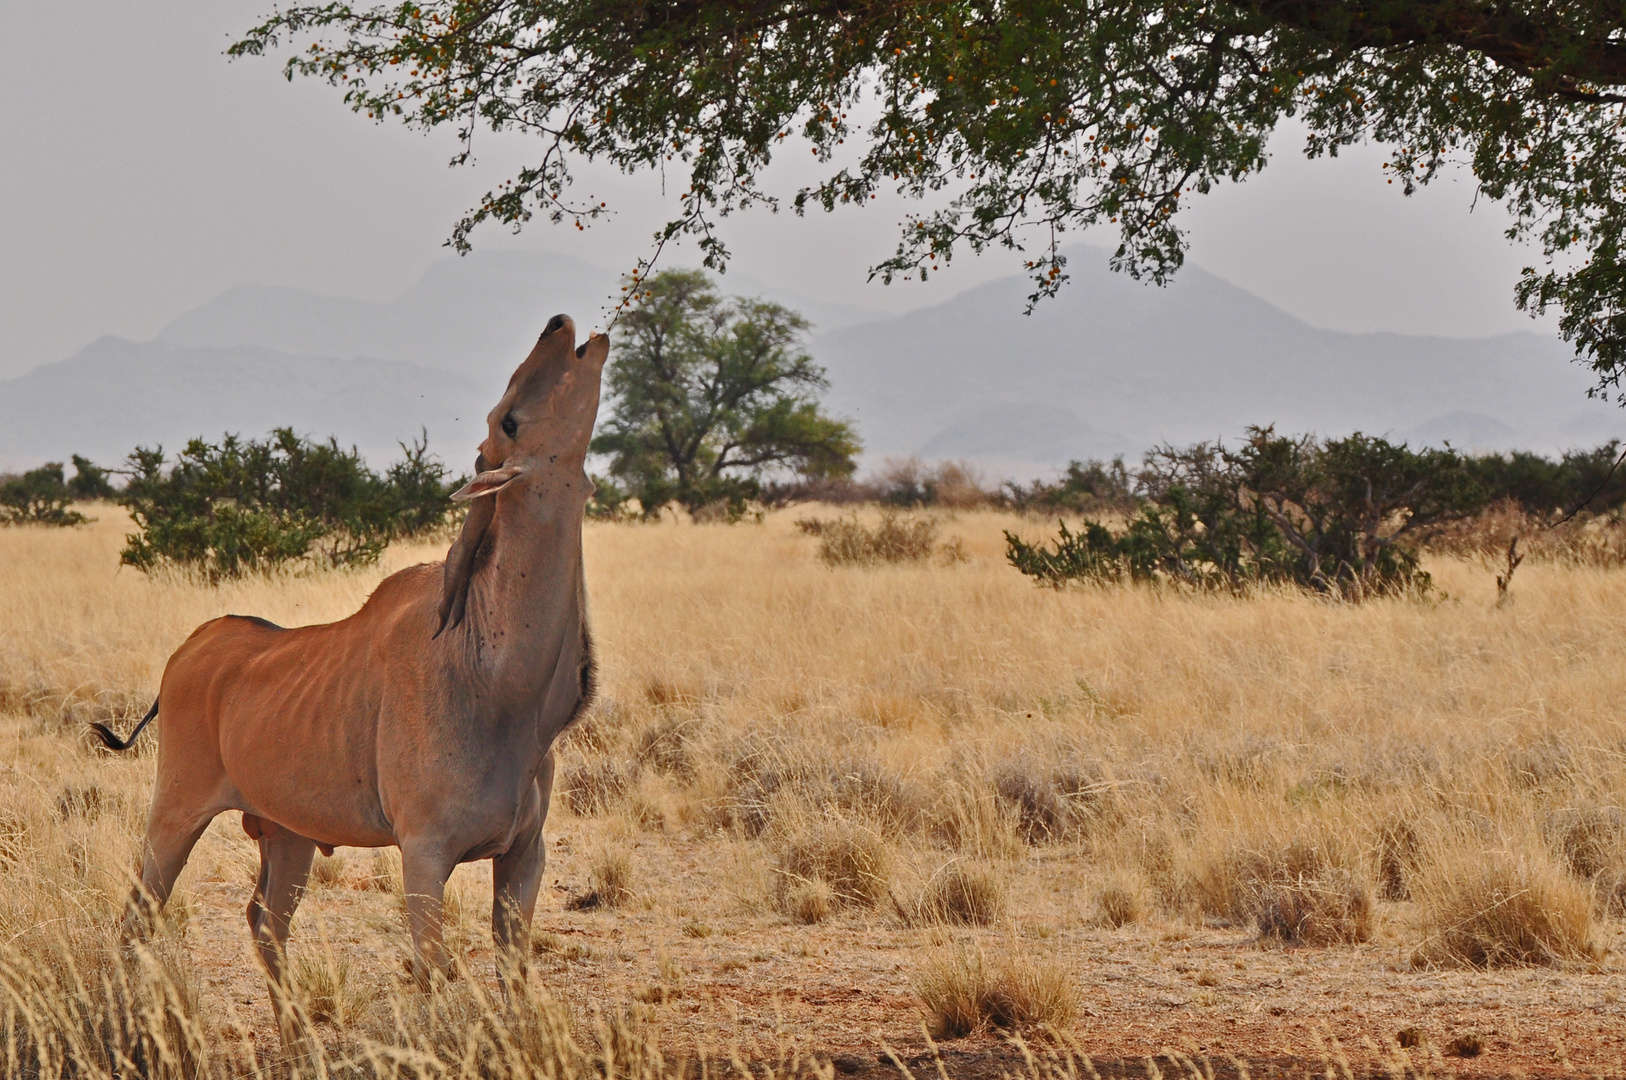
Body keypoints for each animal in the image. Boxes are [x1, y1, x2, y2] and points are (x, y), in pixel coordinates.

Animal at [92, 317, 608, 1034]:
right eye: (506, 419)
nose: (559, 325)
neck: (496, 677)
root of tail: (190, 650)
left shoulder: (522, 855)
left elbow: (514, 968)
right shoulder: (425, 854)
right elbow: (432, 972)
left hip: (287, 836)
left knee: (265, 922)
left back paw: (296, 1039)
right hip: (175, 812)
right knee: (139, 914)